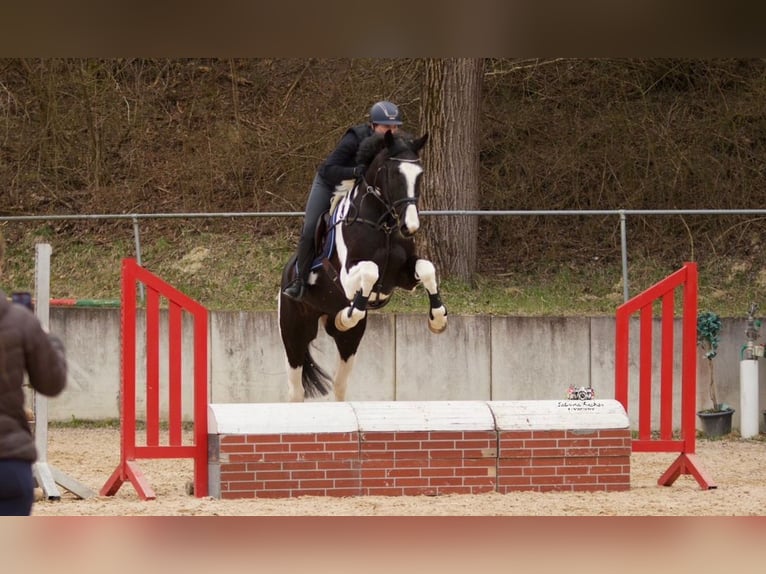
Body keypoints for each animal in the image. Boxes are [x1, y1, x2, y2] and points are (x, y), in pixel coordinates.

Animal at [278, 129, 448, 402]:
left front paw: (438, 319)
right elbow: (370, 271)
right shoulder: (346, 278)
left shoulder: (402, 277)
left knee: (340, 384)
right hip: (294, 333)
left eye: (419, 174)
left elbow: (427, 268)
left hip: (350, 341)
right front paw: (348, 314)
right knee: (296, 390)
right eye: (393, 174)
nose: (410, 227)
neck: (383, 223)